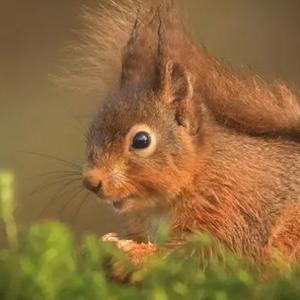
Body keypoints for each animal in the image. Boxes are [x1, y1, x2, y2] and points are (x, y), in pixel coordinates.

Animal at [71, 1, 300, 264]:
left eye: (141, 140)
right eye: (92, 129)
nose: (91, 181)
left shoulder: (230, 210)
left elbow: (202, 253)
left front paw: (135, 254)